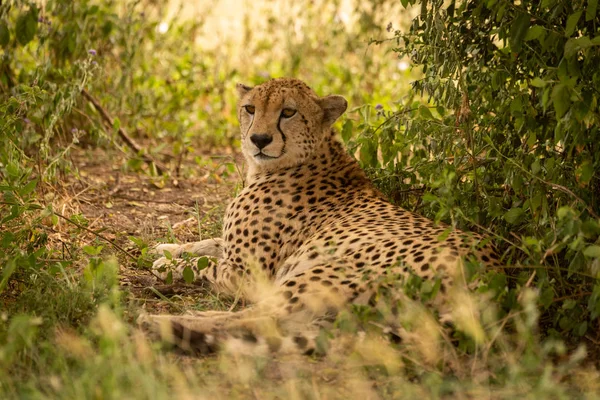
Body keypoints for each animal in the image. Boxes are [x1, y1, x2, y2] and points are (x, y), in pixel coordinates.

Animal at [145, 78, 502, 356]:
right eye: (250, 109)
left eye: (288, 112)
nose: (259, 139)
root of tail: (492, 280)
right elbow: (208, 243)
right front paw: (164, 249)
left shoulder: (248, 275)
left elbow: (206, 265)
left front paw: (166, 265)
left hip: (316, 276)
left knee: (253, 320)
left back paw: (163, 324)